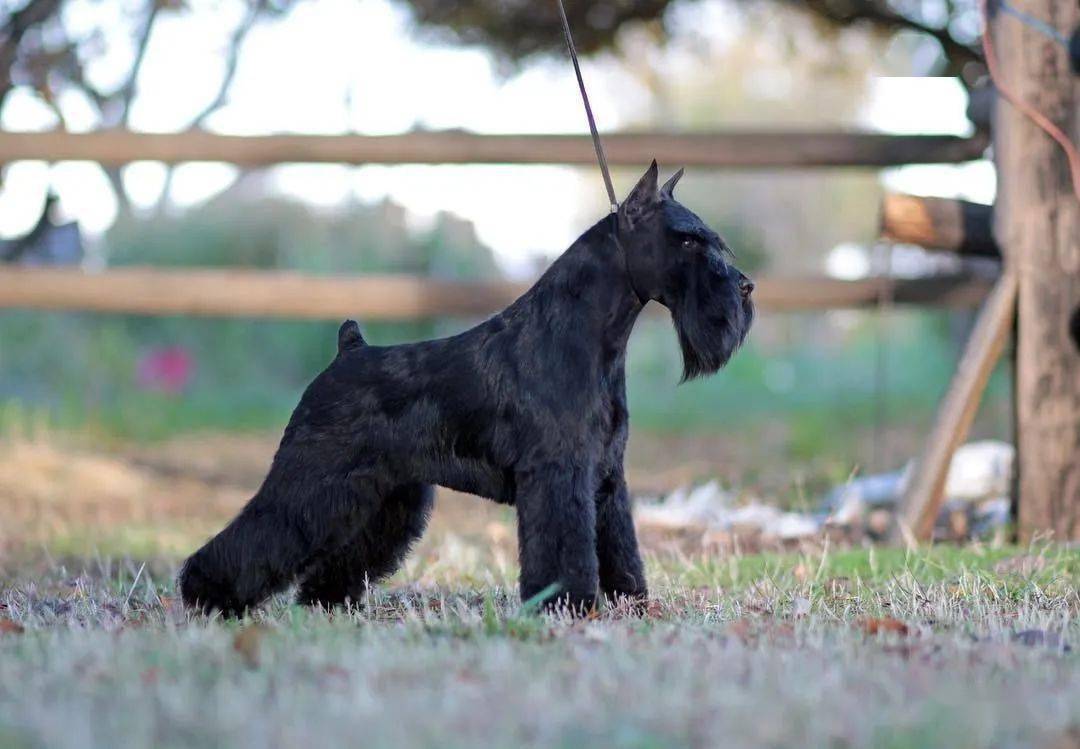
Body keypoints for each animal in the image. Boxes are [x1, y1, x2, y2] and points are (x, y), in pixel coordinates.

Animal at [179, 162, 751, 617]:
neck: (587, 337)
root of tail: (349, 348)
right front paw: (566, 604)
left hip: (384, 493)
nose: (745, 287)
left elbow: (620, 547)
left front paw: (628, 600)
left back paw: (326, 602)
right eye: (687, 240)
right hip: (313, 476)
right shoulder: (558, 474)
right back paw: (207, 594)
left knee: (343, 553)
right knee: (262, 530)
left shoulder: (607, 476)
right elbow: (564, 547)